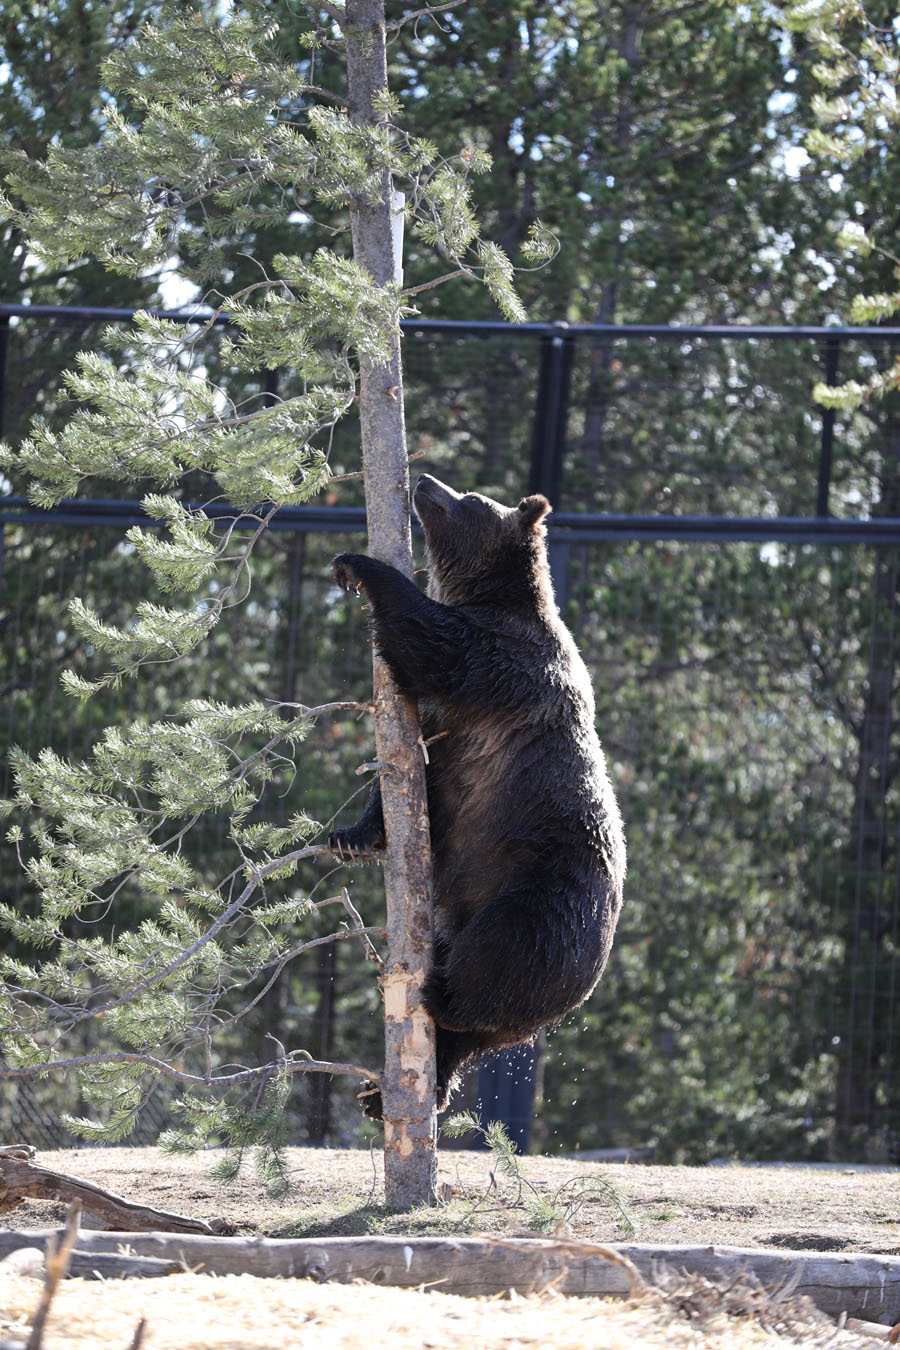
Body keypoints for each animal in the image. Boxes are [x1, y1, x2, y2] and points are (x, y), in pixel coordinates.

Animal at [329, 473, 625, 1117]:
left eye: (470, 500)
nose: (425, 480)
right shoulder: (446, 737)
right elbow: (410, 779)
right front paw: (352, 836)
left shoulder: (506, 666)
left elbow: (435, 642)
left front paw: (359, 566)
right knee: (471, 1036)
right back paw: (390, 1092)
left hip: (540, 895)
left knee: (495, 963)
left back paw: (441, 995)